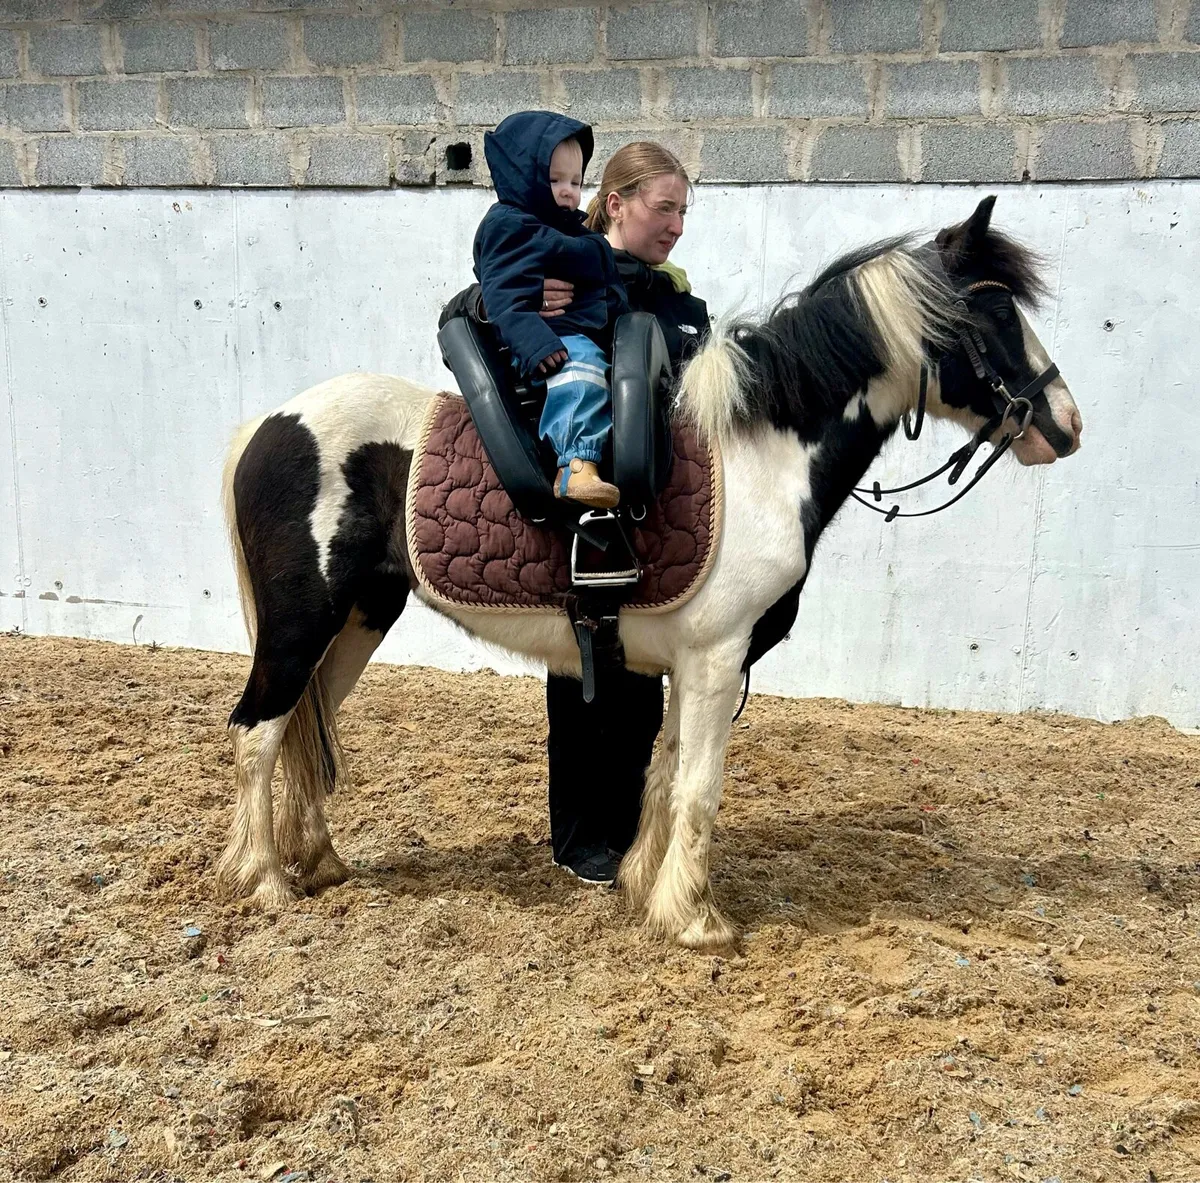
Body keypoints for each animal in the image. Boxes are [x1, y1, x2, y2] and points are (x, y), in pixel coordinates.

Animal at [216, 195, 1083, 951]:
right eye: (993, 315)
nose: (1066, 424)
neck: (760, 455)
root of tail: (267, 424)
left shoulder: (691, 665)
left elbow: (663, 773)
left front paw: (644, 885)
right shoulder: (718, 658)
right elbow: (700, 785)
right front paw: (697, 919)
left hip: (359, 621)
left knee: (306, 727)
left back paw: (322, 862)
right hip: (302, 626)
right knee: (258, 732)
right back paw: (264, 880)